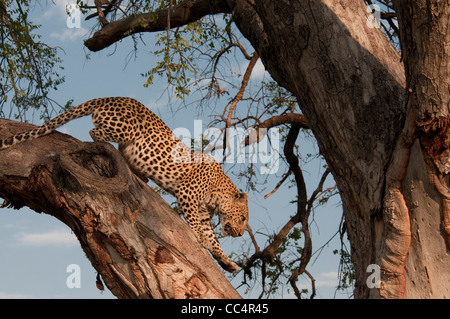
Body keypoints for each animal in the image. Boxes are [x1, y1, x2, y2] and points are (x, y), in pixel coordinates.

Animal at [0, 97, 250, 272]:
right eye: (243, 218)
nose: (239, 234)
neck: (218, 194)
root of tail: (111, 97)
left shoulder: (204, 212)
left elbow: (214, 239)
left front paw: (226, 262)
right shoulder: (187, 194)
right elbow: (199, 228)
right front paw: (199, 237)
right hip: (126, 128)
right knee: (94, 131)